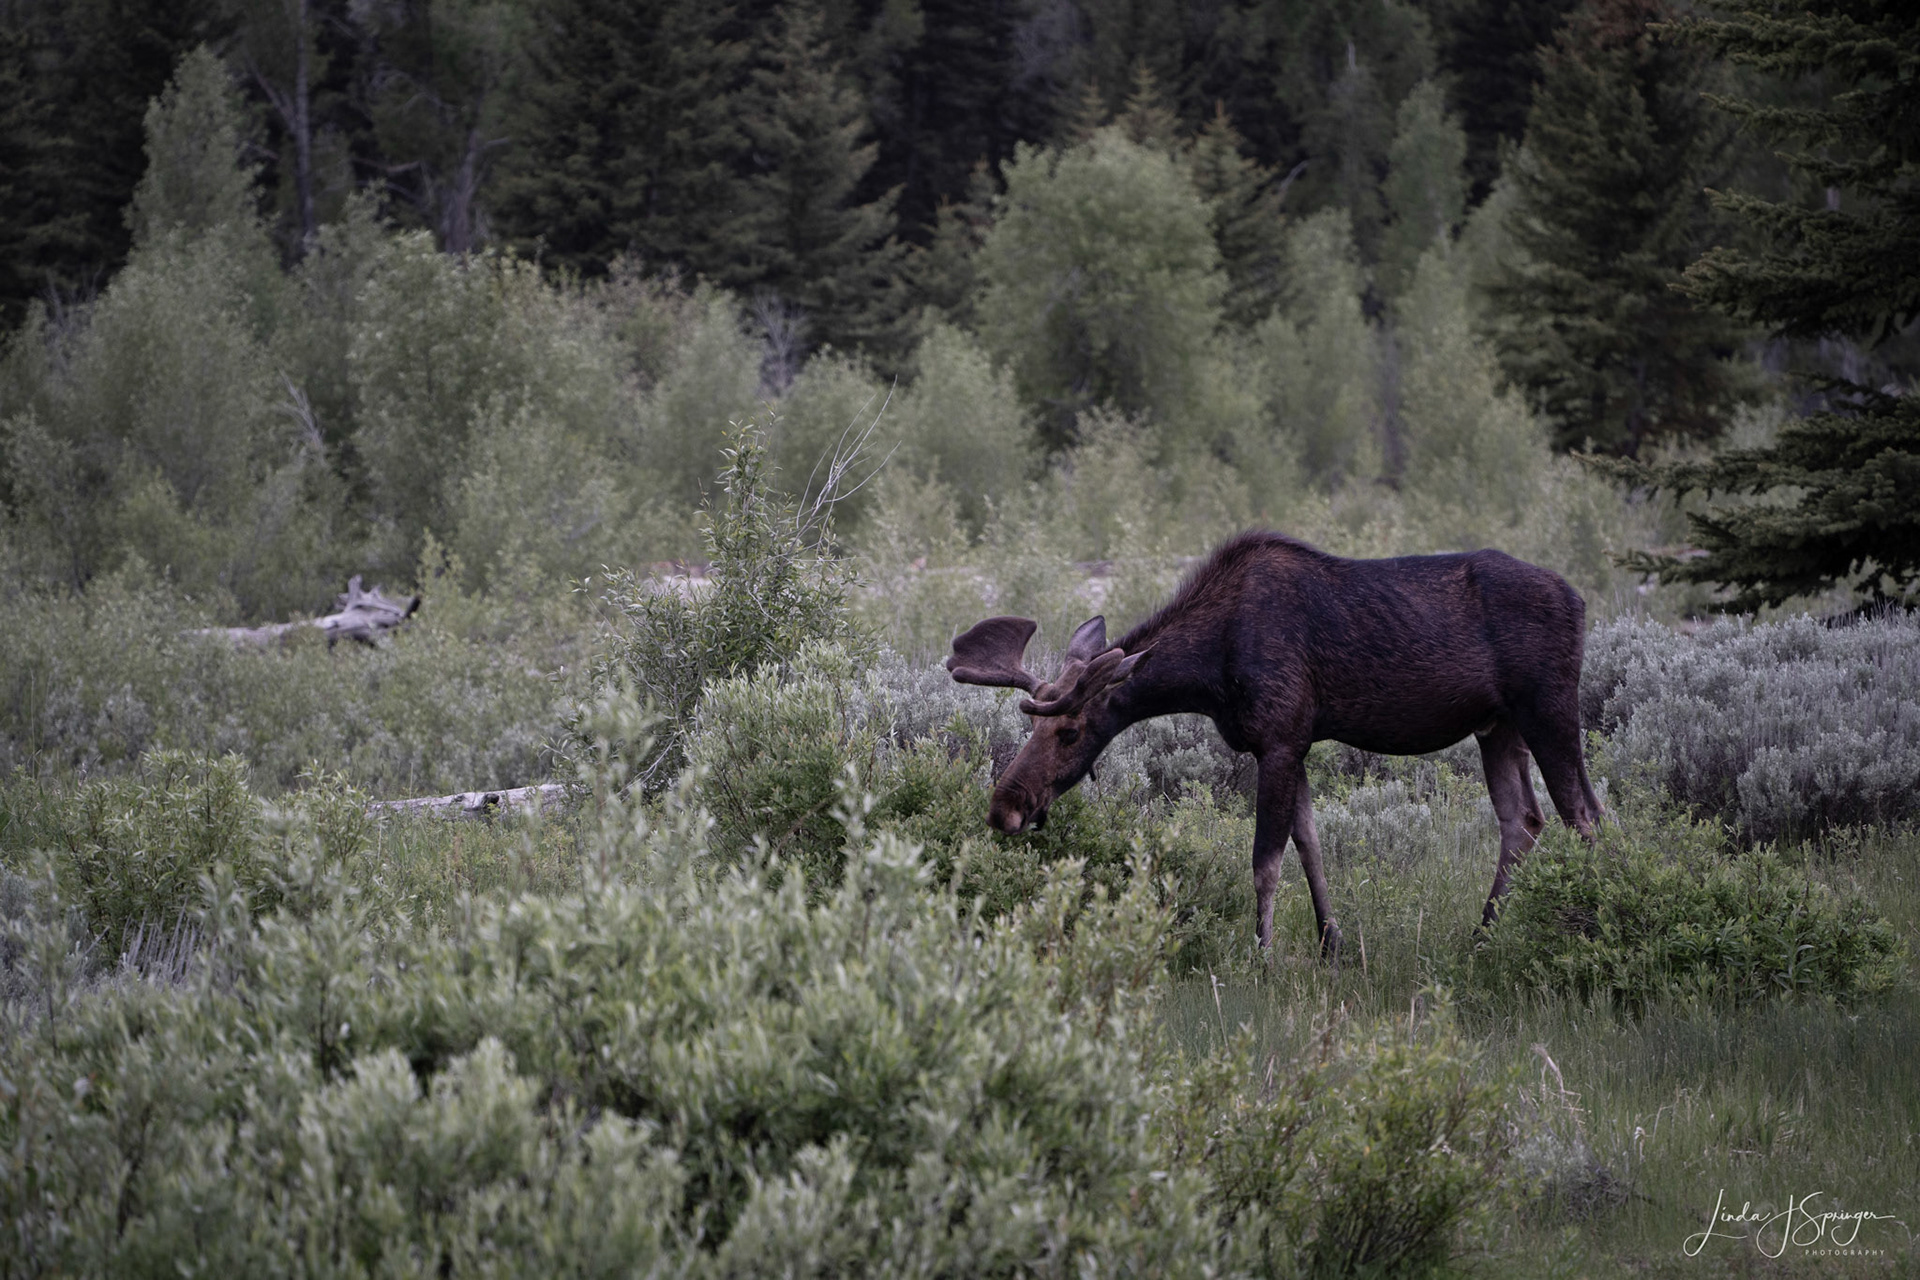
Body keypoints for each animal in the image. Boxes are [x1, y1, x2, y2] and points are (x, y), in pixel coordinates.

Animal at [945, 531, 1603, 956]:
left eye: (1070, 731)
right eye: (1029, 728)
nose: (1004, 808)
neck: (1207, 674)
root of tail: (1581, 599)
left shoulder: (1280, 738)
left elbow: (1265, 860)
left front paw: (1261, 955)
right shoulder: (1295, 741)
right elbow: (1309, 843)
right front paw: (1331, 944)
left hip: (1548, 705)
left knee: (1584, 814)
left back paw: (1589, 930)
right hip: (1498, 724)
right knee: (1524, 820)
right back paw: (1483, 936)